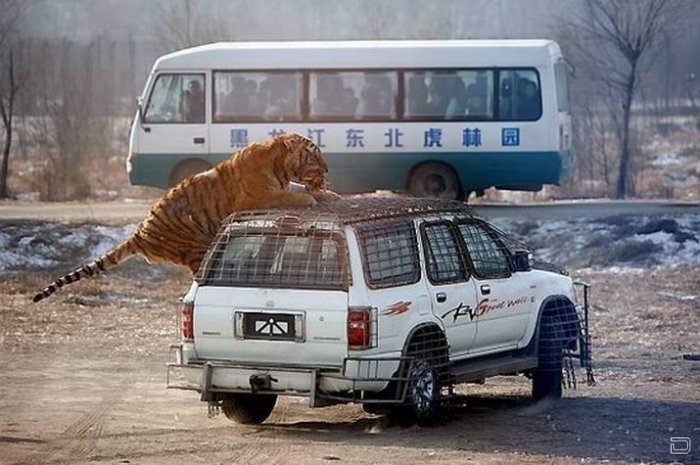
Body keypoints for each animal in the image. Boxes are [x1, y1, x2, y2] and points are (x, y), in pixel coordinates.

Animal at [32, 132, 340, 302]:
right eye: (314, 154)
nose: (328, 169)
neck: (279, 166)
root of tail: (139, 233)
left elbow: (299, 189)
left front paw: (331, 196)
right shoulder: (260, 197)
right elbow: (292, 195)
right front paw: (311, 197)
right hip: (195, 246)